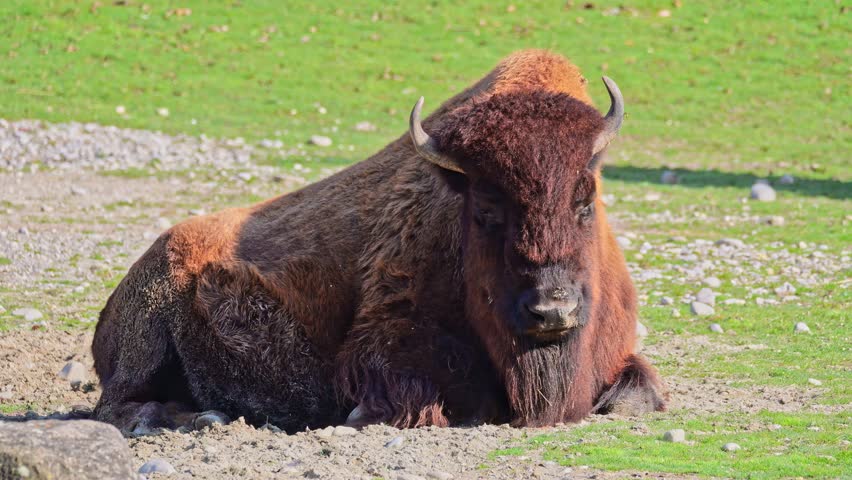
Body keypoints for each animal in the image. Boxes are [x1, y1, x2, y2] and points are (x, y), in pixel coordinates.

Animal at [92, 50, 666, 433]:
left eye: (585, 201)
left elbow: (635, 393)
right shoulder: (383, 345)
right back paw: (186, 418)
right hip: (148, 332)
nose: (551, 311)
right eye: (485, 210)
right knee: (117, 404)